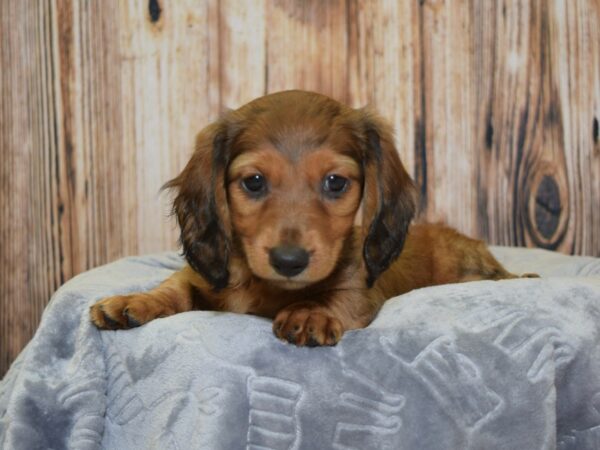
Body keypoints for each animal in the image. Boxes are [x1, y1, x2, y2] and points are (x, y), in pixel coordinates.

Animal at [90, 89, 536, 346]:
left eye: (335, 182)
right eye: (253, 181)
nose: (289, 261)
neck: (265, 286)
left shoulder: (360, 289)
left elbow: (334, 295)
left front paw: (309, 312)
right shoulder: (203, 277)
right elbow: (175, 286)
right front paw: (133, 301)